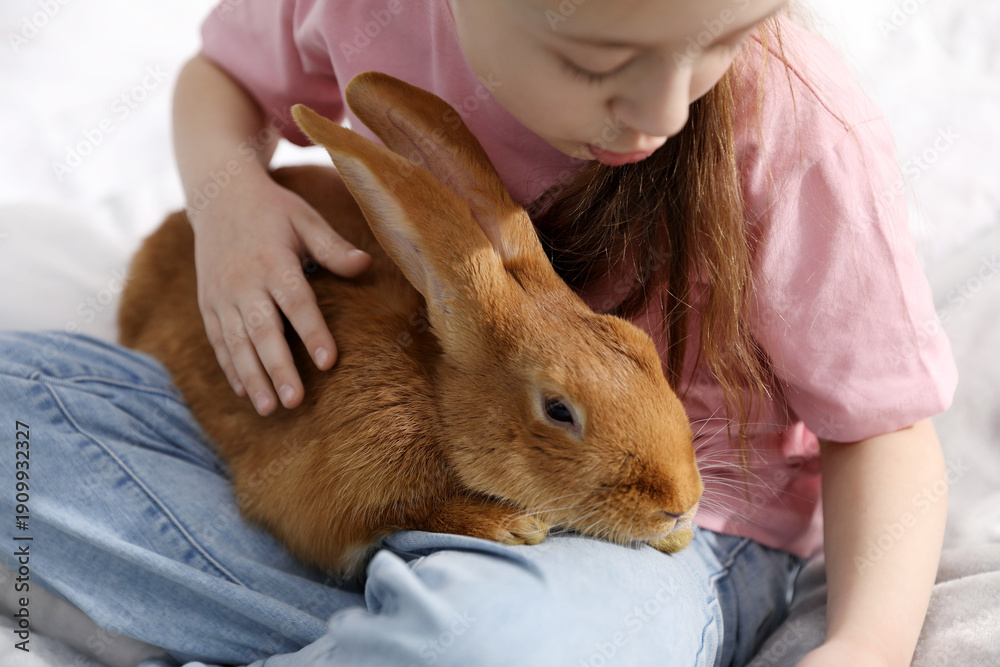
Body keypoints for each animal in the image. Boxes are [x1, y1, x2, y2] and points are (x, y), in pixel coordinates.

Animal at [117, 71, 703, 581]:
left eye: (641, 344)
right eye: (558, 410)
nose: (680, 503)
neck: (436, 402)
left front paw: (677, 536)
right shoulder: (339, 494)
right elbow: (399, 516)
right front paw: (512, 525)